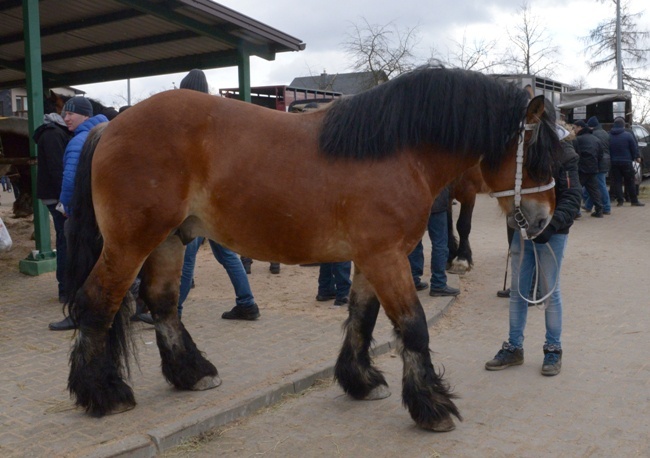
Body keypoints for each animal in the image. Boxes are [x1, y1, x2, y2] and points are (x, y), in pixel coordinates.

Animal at [67, 66, 556, 432]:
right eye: (536, 154)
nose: (543, 221)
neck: (397, 151)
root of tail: (111, 126)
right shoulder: (387, 257)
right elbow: (413, 327)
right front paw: (432, 405)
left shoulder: (372, 257)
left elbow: (362, 316)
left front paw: (360, 381)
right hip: (130, 243)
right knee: (97, 302)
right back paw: (104, 393)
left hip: (171, 239)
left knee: (164, 303)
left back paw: (193, 372)